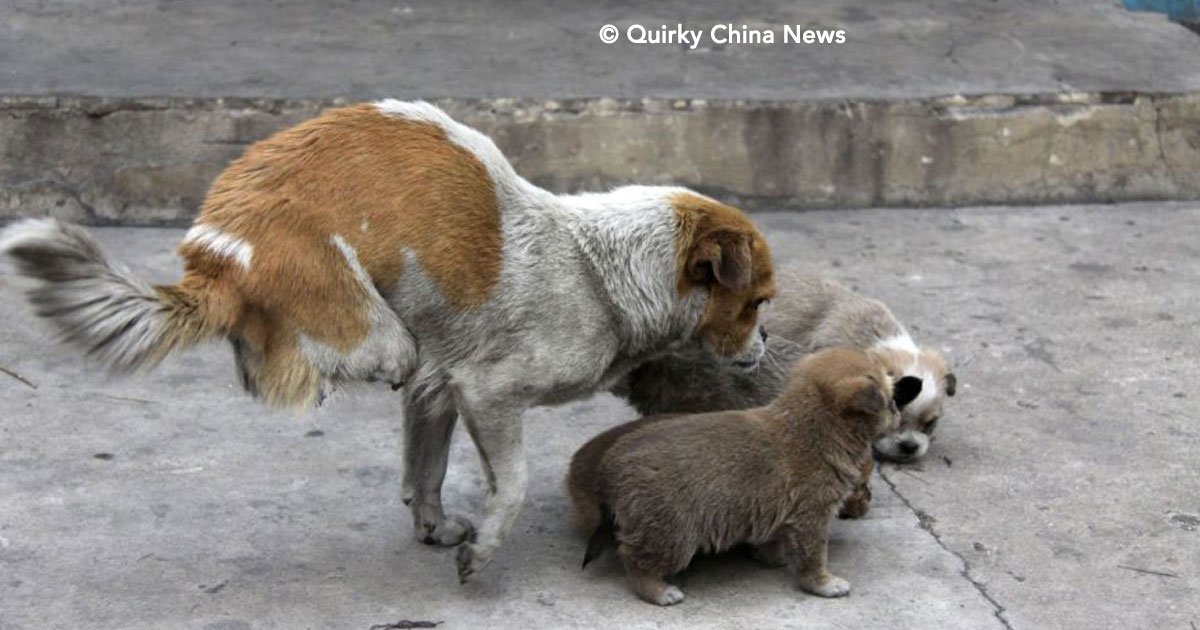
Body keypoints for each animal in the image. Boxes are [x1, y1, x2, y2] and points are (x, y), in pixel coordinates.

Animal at [2, 102, 777, 580]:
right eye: (758, 303)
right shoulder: (487, 392)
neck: (597, 270)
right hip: (369, 331)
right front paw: (485, 550)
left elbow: (425, 470)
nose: (768, 342)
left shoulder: (441, 386)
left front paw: (433, 528)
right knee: (346, 359)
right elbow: (514, 482)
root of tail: (217, 257)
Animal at [566, 343, 921, 604]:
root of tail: (611, 466)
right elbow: (813, 557)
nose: (897, 414)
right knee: (632, 556)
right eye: (891, 403)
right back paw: (659, 591)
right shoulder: (813, 517)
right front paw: (824, 583)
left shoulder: (784, 512)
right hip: (672, 534)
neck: (812, 425)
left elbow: (776, 538)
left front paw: (770, 557)